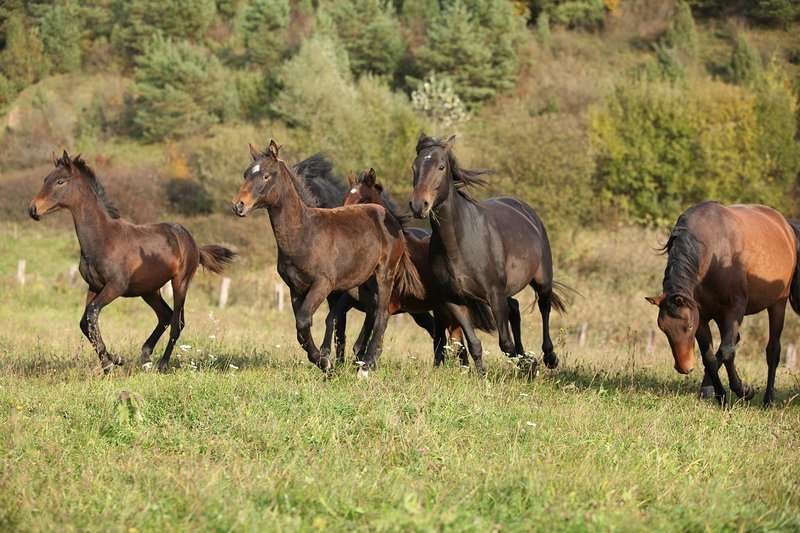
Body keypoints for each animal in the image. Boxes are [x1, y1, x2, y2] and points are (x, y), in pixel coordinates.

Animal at [29, 151, 235, 373]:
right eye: (45, 179)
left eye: (60, 181)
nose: (33, 209)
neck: (103, 238)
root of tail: (194, 243)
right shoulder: (94, 286)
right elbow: (85, 323)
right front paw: (113, 360)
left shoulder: (116, 286)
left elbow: (92, 314)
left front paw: (111, 362)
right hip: (149, 290)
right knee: (165, 316)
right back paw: (145, 356)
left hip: (180, 283)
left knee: (176, 323)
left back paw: (162, 364)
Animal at [232, 140, 423, 374]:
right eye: (246, 174)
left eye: (266, 176)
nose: (238, 205)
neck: (305, 233)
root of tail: (393, 221)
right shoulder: (295, 288)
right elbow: (301, 329)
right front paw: (324, 363)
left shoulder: (323, 284)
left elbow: (304, 320)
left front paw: (325, 362)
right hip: (363, 285)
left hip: (384, 276)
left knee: (381, 315)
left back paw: (366, 366)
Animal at [409, 134, 567, 375]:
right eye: (414, 167)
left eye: (441, 166)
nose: (419, 205)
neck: (458, 244)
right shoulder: (454, 301)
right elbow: (474, 343)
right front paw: (483, 375)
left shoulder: (494, 294)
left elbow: (505, 343)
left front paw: (525, 368)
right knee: (515, 308)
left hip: (542, 280)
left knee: (544, 307)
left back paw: (549, 358)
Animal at [646, 201, 800, 406]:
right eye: (663, 328)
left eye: (689, 326)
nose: (684, 367)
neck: (714, 251)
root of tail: (785, 226)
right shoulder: (702, 316)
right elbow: (710, 357)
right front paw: (721, 395)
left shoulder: (734, 310)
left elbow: (727, 352)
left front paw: (745, 391)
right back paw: (707, 389)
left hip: (777, 304)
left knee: (772, 350)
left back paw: (768, 399)